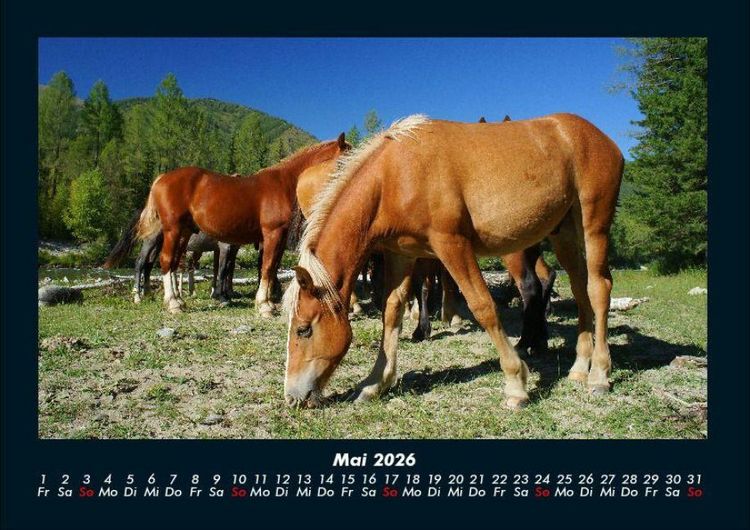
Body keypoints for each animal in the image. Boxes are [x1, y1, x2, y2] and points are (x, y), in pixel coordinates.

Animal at [135, 135, 350, 315]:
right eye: (345, 159)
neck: (284, 183)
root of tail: (161, 178)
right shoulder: (272, 234)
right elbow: (267, 267)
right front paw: (264, 306)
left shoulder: (278, 238)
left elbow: (272, 268)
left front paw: (268, 302)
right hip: (172, 230)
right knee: (165, 260)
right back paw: (172, 302)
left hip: (184, 232)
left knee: (172, 262)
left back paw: (178, 300)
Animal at [284, 114, 623, 410]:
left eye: (303, 330)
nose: (292, 397)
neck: (397, 173)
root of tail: (600, 137)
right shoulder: (402, 254)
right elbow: (391, 312)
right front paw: (375, 382)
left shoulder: (452, 245)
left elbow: (483, 307)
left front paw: (516, 384)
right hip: (564, 234)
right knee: (580, 290)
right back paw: (579, 367)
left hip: (594, 226)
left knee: (599, 289)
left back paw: (599, 374)